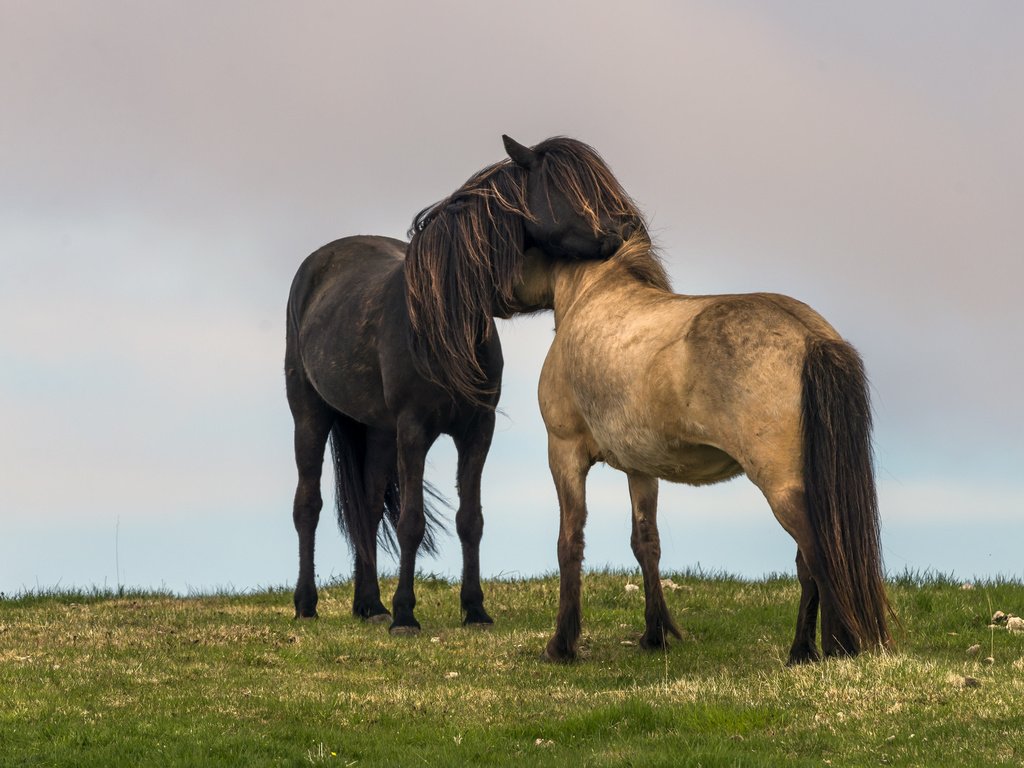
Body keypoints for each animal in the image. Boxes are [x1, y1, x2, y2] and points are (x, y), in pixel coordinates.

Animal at [284, 135, 643, 634]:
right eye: (564, 186)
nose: (627, 227)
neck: (442, 319)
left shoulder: (477, 429)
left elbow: (470, 519)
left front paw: (474, 609)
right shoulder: (414, 430)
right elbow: (412, 522)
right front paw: (406, 615)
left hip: (377, 431)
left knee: (367, 510)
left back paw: (369, 605)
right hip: (311, 415)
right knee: (308, 505)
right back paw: (308, 603)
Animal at [516, 237, 892, 663]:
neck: (592, 297)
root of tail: (810, 337)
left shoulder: (564, 453)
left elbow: (569, 542)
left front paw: (562, 645)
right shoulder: (640, 467)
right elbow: (645, 543)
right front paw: (655, 634)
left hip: (783, 487)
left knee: (817, 557)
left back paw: (831, 647)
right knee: (806, 563)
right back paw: (804, 649)